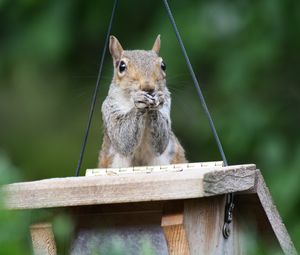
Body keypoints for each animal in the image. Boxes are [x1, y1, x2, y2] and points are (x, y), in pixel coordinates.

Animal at [98, 35, 186, 167]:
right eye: (121, 66)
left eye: (163, 65)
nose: (148, 87)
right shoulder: (109, 107)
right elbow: (122, 137)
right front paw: (139, 102)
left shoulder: (167, 105)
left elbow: (162, 141)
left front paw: (157, 100)